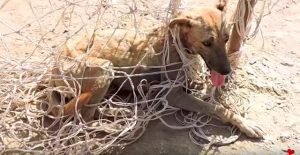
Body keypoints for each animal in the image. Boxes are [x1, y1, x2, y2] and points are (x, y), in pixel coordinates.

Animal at [48, 2, 264, 138]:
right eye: (207, 42)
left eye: (226, 38)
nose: (227, 71)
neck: (179, 44)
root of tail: (54, 67)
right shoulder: (172, 95)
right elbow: (216, 107)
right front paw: (244, 123)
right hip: (104, 69)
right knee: (83, 118)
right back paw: (115, 124)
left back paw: (119, 112)